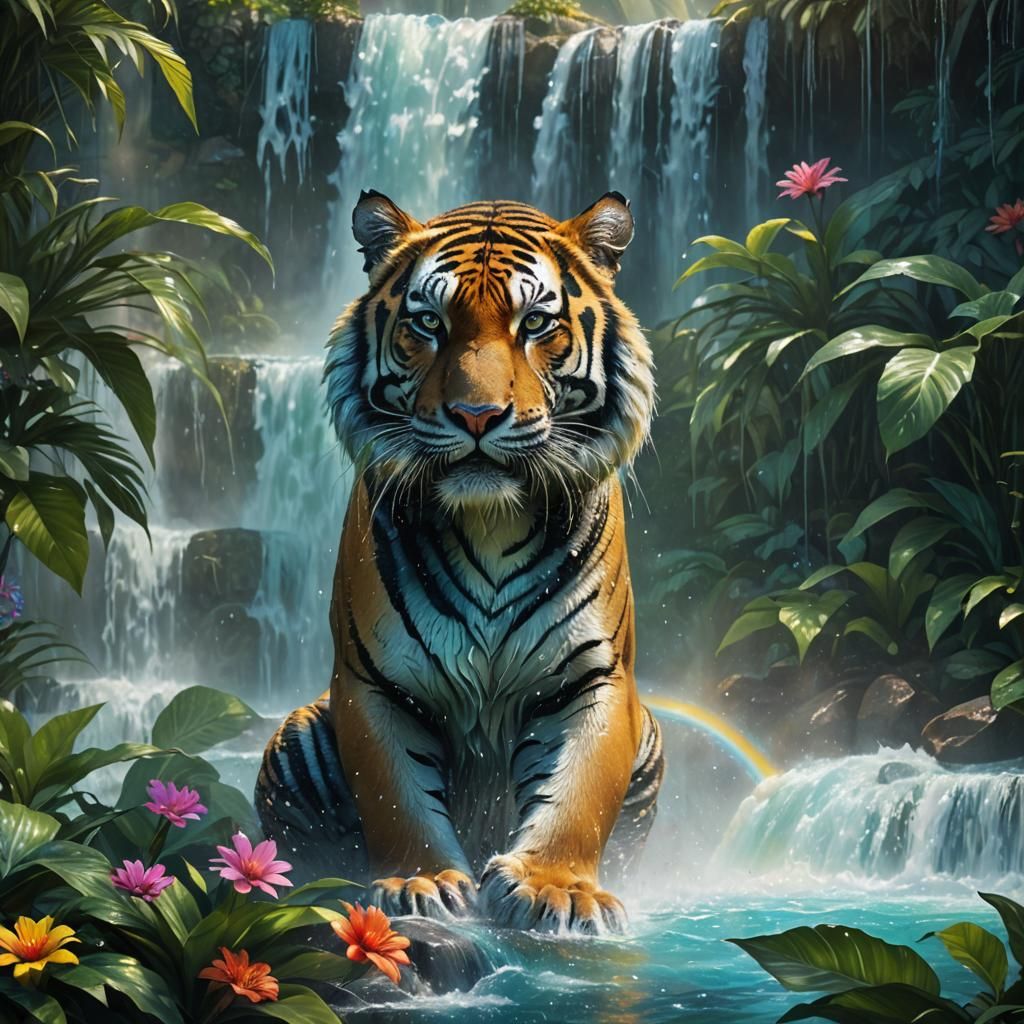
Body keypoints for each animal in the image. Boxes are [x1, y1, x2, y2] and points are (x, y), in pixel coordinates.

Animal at [255, 190, 663, 934]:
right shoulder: (374, 683)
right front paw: (421, 885)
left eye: (536, 324)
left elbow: (579, 792)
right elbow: (396, 796)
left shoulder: (594, 677)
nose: (477, 415)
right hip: (298, 732)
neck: (490, 518)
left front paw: (556, 889)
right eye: (428, 323)